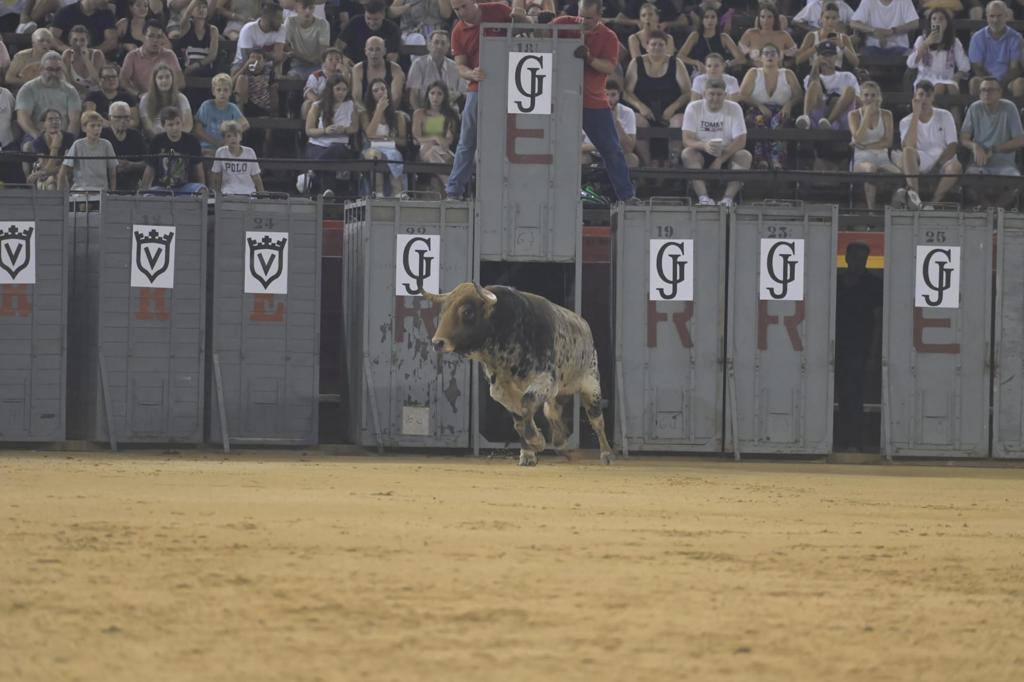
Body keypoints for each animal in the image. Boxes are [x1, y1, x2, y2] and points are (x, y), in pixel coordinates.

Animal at [423, 278, 614, 464]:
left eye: (467, 312)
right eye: (443, 311)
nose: (437, 342)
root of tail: (584, 325)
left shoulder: (546, 380)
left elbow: (526, 404)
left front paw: (537, 442)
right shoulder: (501, 390)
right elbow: (519, 419)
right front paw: (529, 452)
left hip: (591, 386)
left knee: (597, 421)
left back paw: (606, 454)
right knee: (552, 413)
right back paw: (560, 441)